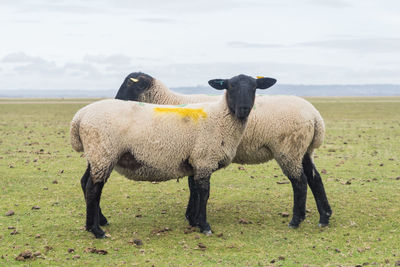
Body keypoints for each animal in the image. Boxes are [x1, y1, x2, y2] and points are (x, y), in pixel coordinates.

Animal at [112, 71, 332, 230]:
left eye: (129, 84)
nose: (116, 101)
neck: (168, 102)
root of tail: (315, 117)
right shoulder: (196, 153)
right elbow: (194, 185)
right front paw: (193, 216)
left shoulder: (198, 151)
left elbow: (193, 186)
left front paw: (192, 217)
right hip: (304, 150)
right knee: (315, 179)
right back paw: (324, 217)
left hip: (288, 149)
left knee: (300, 182)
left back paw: (296, 221)